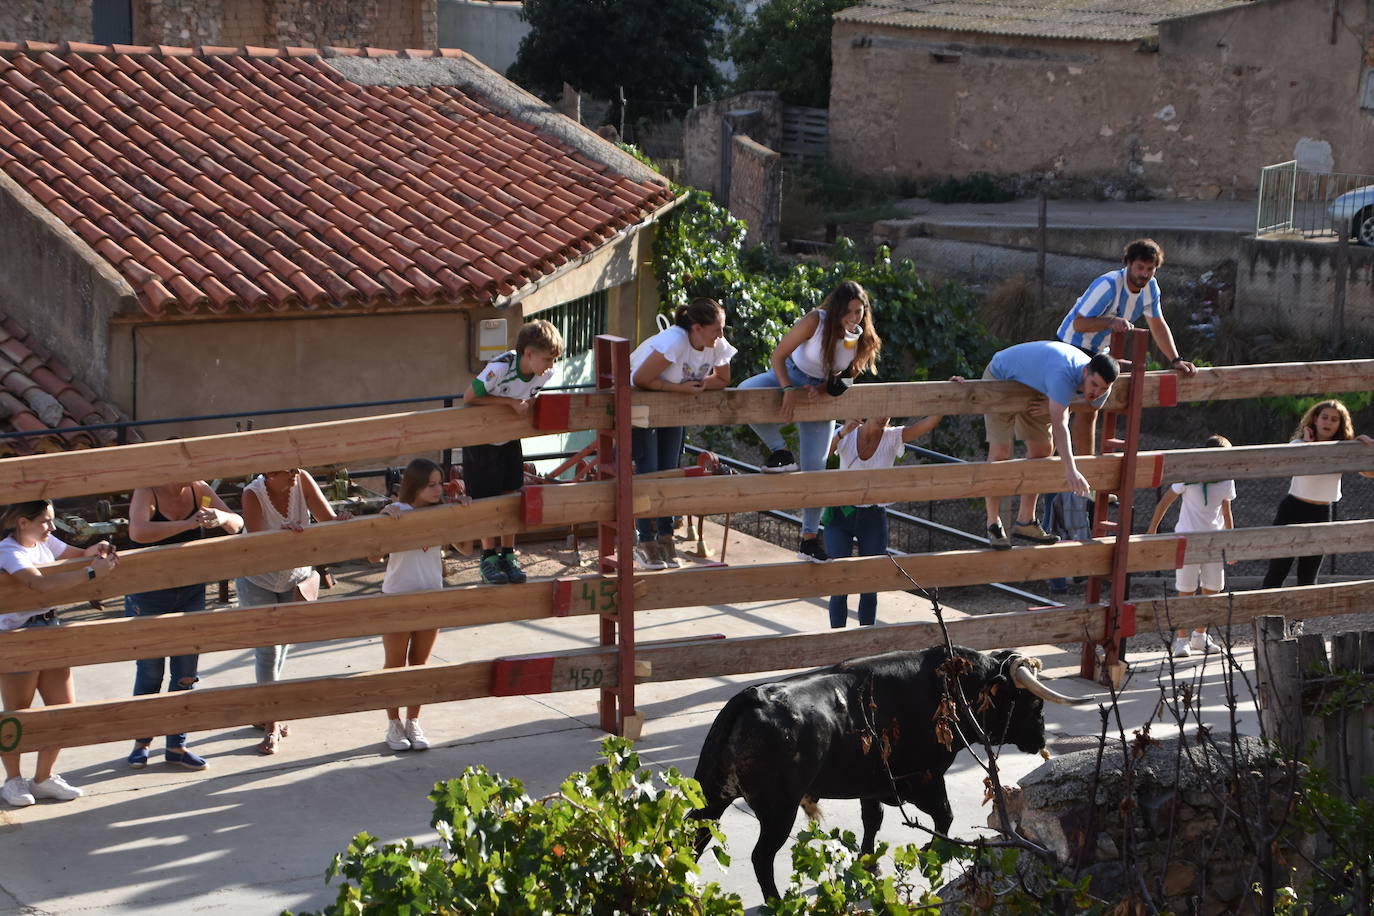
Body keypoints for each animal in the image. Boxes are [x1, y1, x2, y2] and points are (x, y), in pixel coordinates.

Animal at [692, 648, 1088, 900]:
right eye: (1033, 702)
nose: (1041, 737)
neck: (953, 687)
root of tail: (753, 698)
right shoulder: (924, 778)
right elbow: (945, 816)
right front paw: (931, 851)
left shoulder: (873, 786)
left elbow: (873, 820)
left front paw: (868, 864)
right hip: (779, 809)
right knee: (761, 857)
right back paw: (775, 902)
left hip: (711, 795)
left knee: (695, 837)